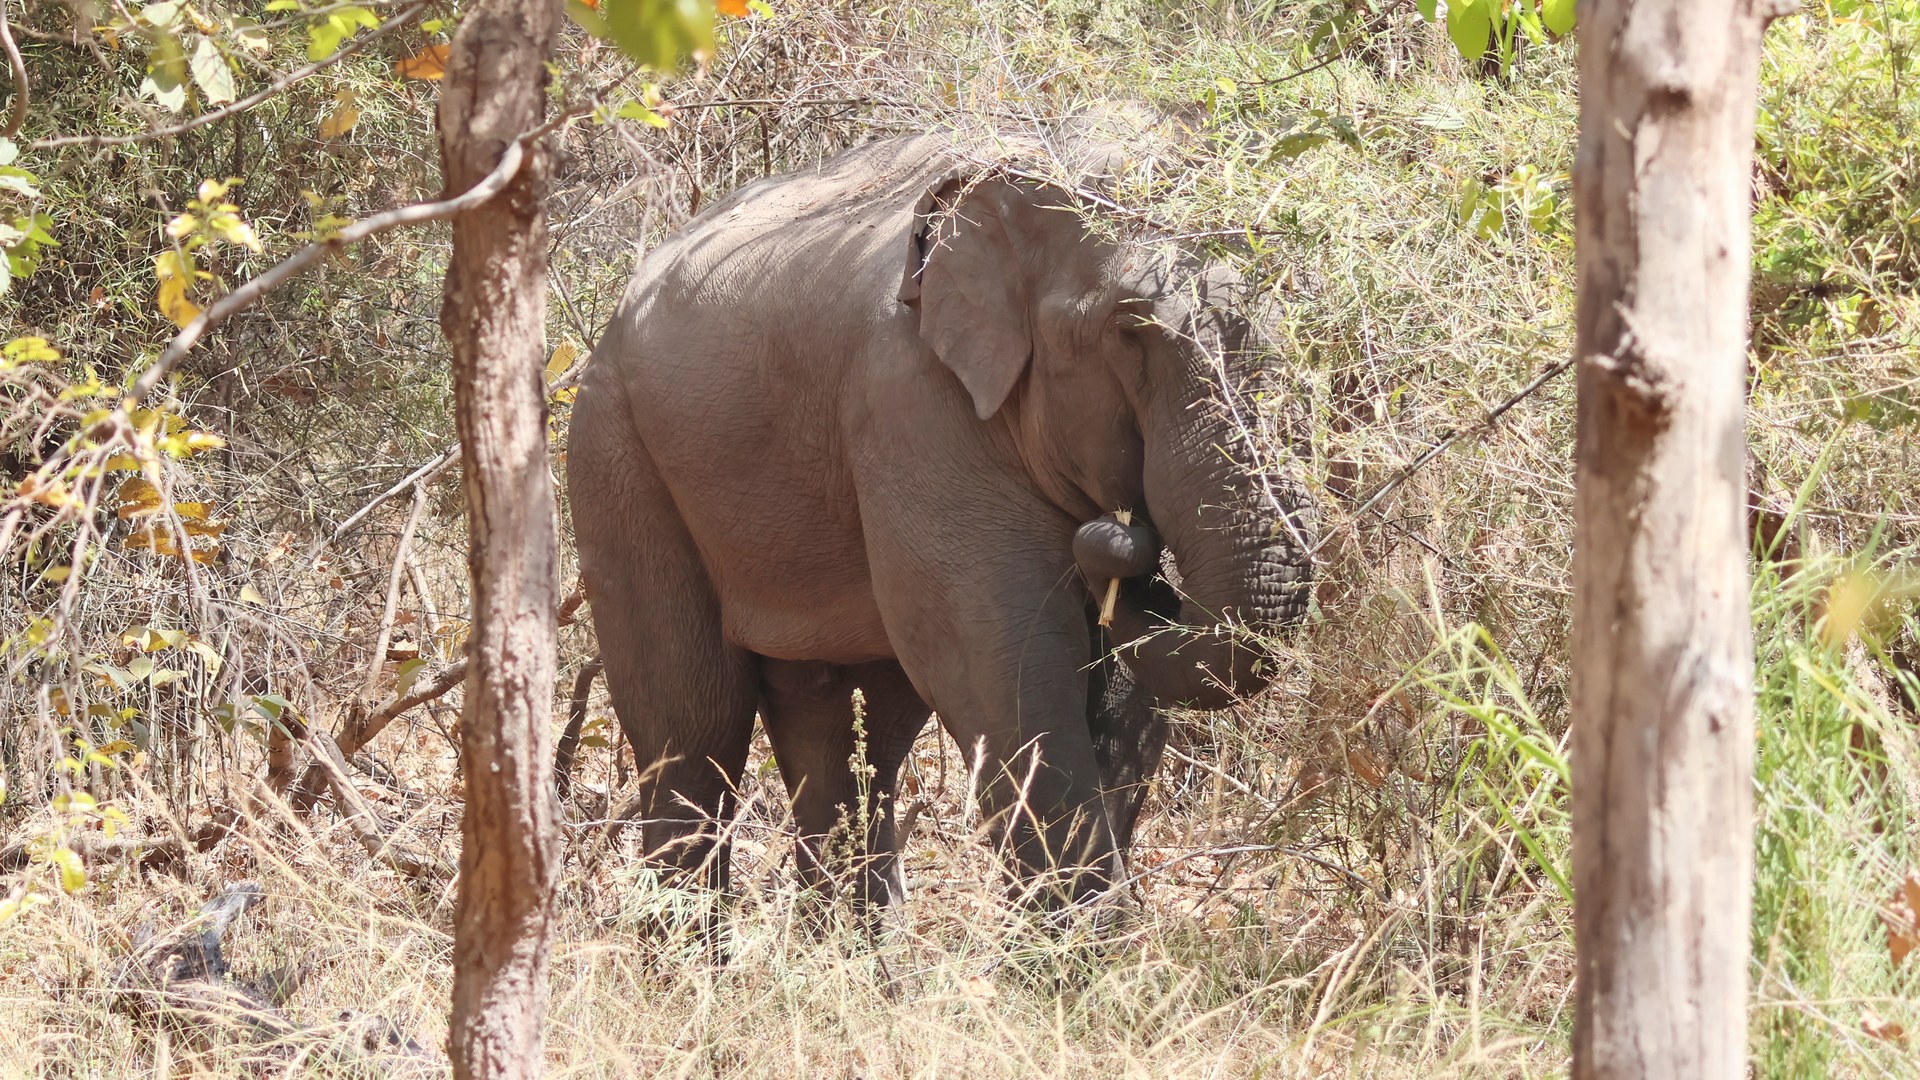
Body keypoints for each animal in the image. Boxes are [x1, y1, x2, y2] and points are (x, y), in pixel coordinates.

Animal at [568, 130, 1316, 912]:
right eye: (1129, 330)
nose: (1122, 534)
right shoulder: (911, 406)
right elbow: (1002, 671)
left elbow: (1119, 697)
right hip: (615, 454)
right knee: (693, 728)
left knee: (853, 732)